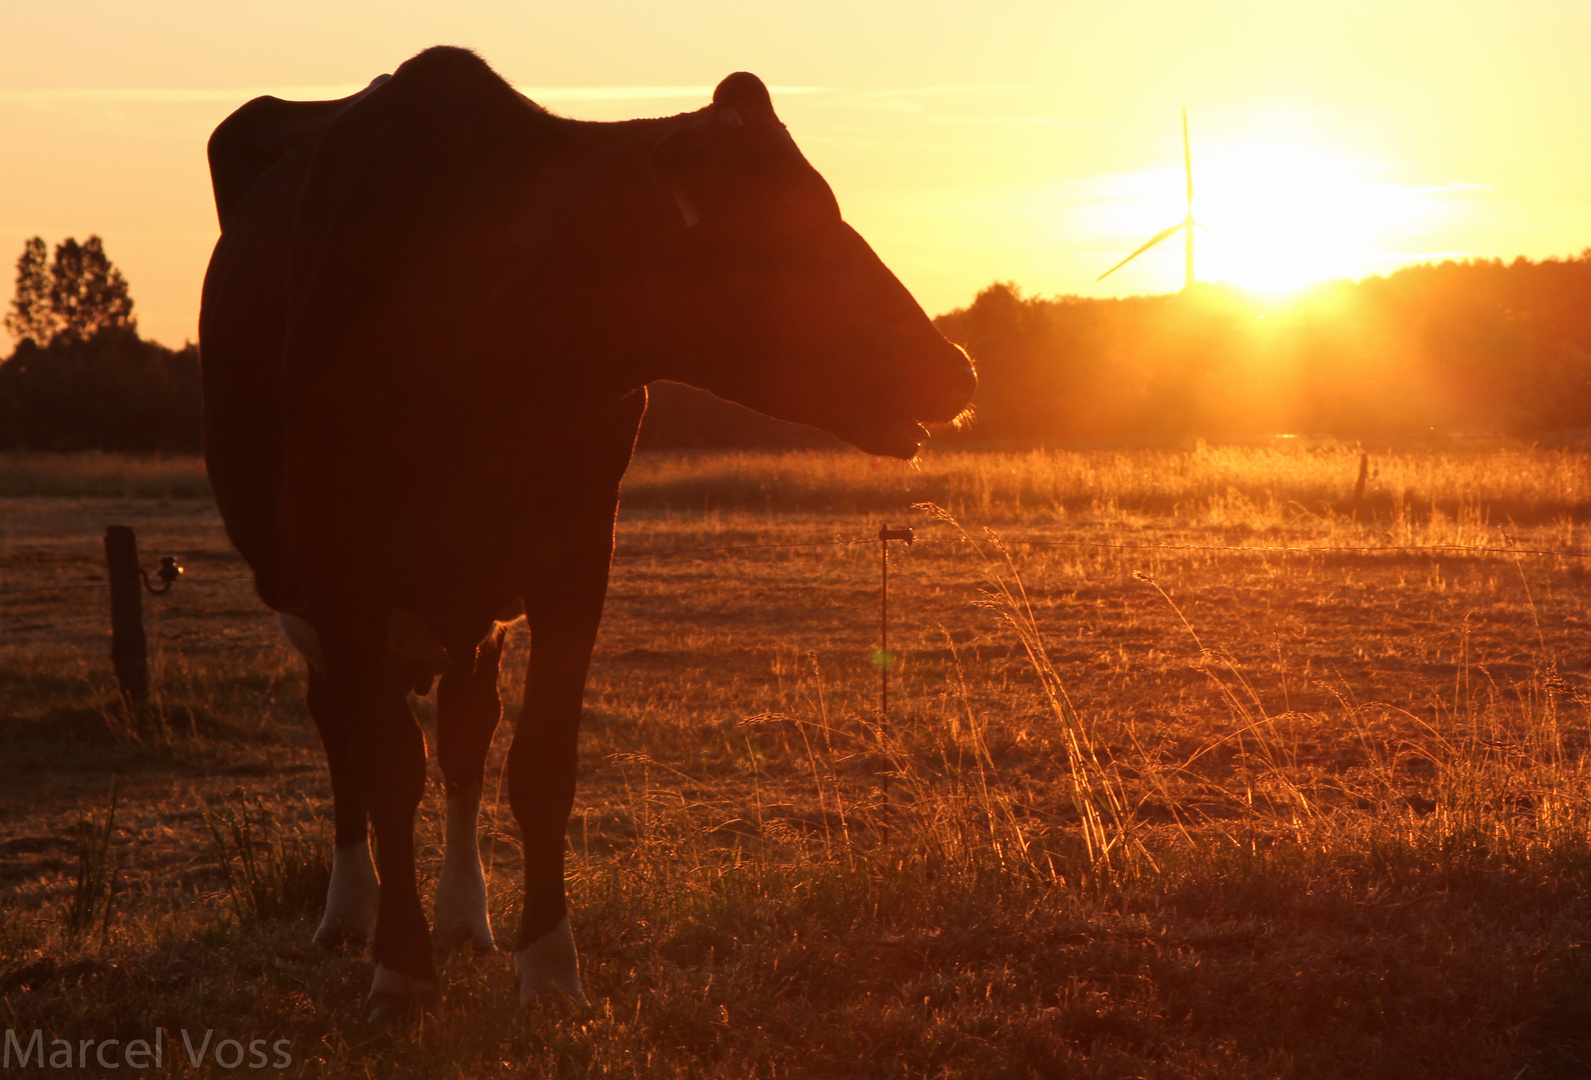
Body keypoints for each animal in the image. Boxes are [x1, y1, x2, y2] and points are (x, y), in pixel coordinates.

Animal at [198, 44, 967, 1024]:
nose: (955, 369)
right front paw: (401, 973)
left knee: (466, 732)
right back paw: (350, 914)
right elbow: (386, 768)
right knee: (342, 734)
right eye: (782, 232)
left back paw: (463, 915)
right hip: (310, 595)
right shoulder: (341, 580)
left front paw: (549, 968)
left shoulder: (573, 558)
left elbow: (539, 765)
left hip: (473, 609)